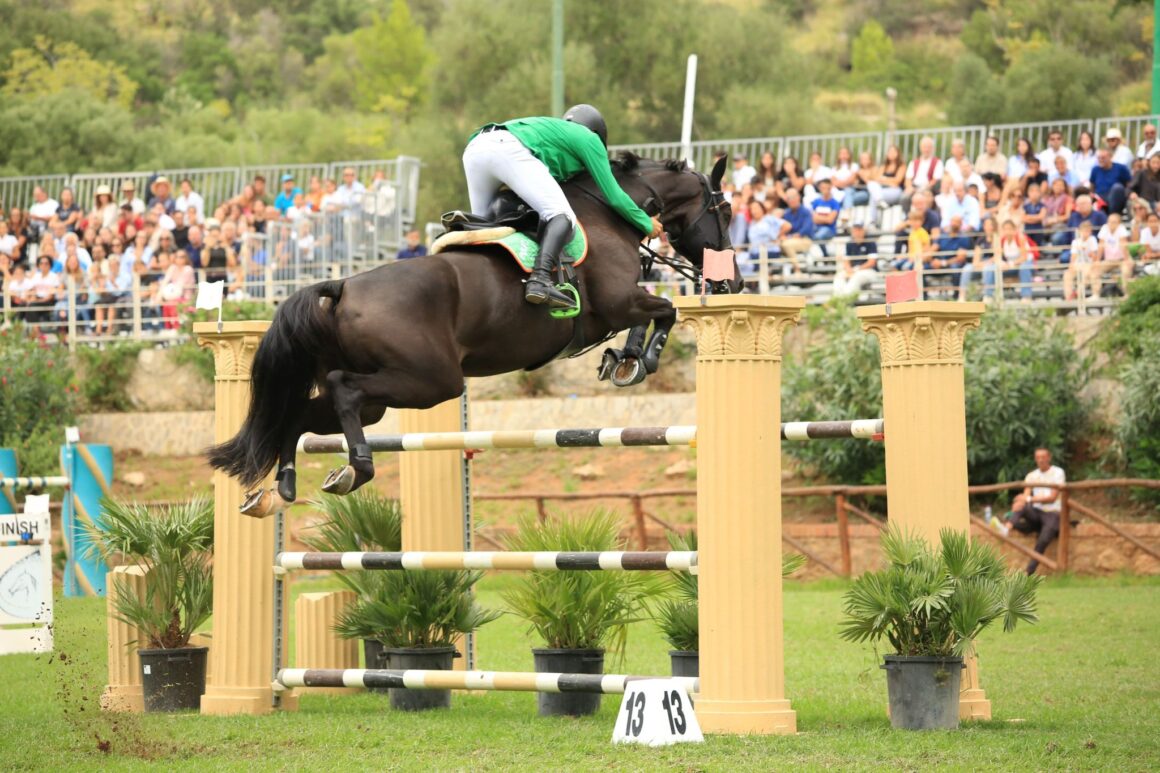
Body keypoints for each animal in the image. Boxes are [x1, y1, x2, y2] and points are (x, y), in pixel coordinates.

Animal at [208, 150, 733, 515]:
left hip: (393, 391)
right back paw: (356, 469)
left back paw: (283, 485)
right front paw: (642, 360)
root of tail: (341, 285)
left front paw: (624, 361)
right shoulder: (618, 302)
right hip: (431, 380)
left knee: (304, 410)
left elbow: (650, 315)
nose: (733, 282)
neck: (607, 213)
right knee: (343, 390)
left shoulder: (622, 305)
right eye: (724, 212)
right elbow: (664, 311)